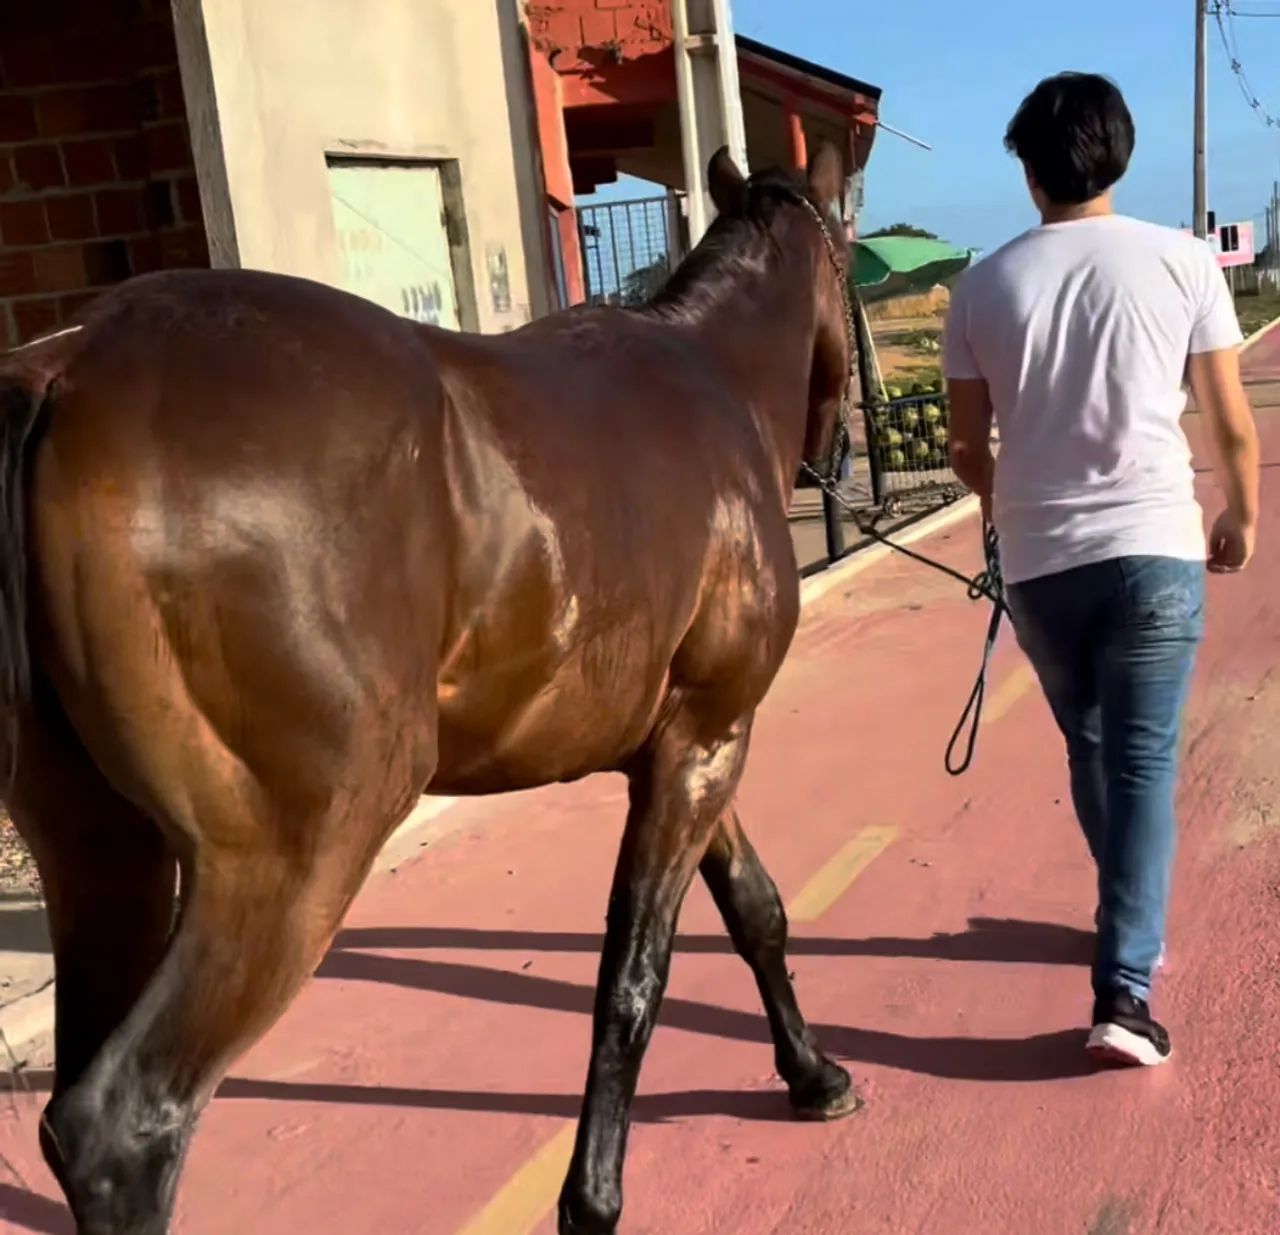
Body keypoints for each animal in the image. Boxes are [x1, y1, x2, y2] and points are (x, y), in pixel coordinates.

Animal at [0, 142, 858, 1235]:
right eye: (848, 252)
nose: (834, 449)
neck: (709, 377)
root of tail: (65, 370)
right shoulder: (706, 739)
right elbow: (633, 974)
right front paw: (593, 1199)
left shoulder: (686, 741)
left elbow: (753, 909)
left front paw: (814, 1072)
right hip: (296, 848)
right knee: (122, 1125)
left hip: (104, 854)